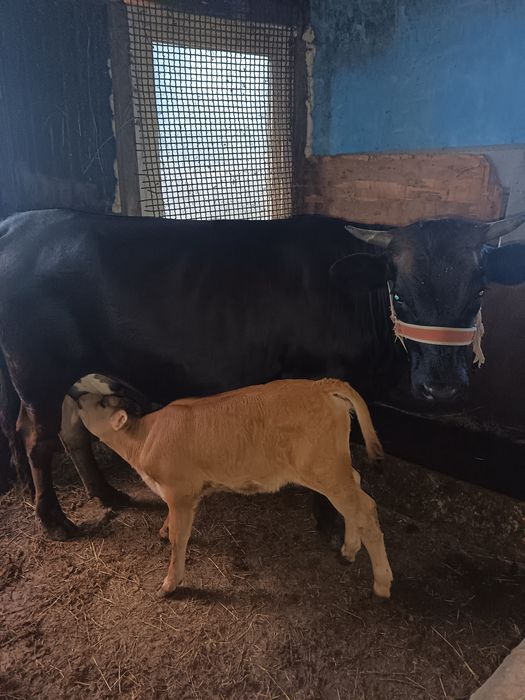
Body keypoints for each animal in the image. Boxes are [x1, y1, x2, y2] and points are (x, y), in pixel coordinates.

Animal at [0, 208, 524, 541]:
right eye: (399, 293)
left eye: (479, 291)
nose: (442, 386)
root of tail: (20, 220)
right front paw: (328, 520)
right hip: (38, 368)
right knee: (35, 438)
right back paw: (55, 522)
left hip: (71, 374)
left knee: (70, 432)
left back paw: (108, 495)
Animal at [76, 379, 393, 598]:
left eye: (103, 404)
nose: (77, 395)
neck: (143, 439)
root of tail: (320, 385)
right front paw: (164, 530)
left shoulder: (179, 491)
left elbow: (180, 538)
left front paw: (169, 583)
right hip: (333, 467)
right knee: (356, 487)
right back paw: (349, 549)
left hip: (323, 469)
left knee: (364, 508)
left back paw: (381, 583)